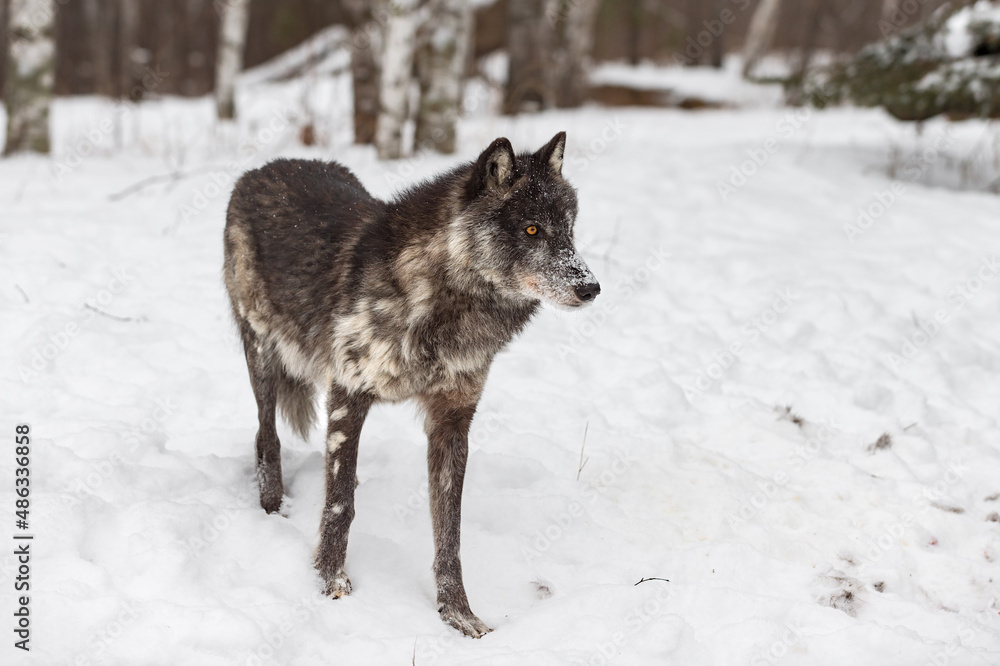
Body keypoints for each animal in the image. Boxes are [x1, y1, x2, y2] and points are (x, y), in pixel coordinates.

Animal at [223, 132, 600, 638]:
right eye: (532, 230)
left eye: (569, 230)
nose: (591, 287)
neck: (445, 303)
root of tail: (263, 169)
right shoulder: (347, 396)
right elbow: (340, 505)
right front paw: (330, 580)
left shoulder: (452, 421)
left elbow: (449, 530)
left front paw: (457, 613)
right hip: (263, 356)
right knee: (266, 436)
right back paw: (272, 510)